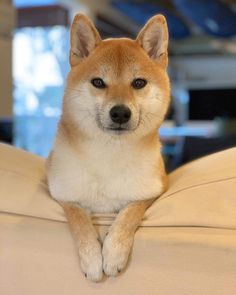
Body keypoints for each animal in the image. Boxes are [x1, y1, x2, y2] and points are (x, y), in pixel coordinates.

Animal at [47, 13, 171, 282]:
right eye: (98, 82)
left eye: (139, 83)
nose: (120, 113)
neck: (109, 155)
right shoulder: (63, 195)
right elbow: (79, 220)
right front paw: (92, 258)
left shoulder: (152, 191)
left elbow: (129, 213)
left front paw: (113, 253)